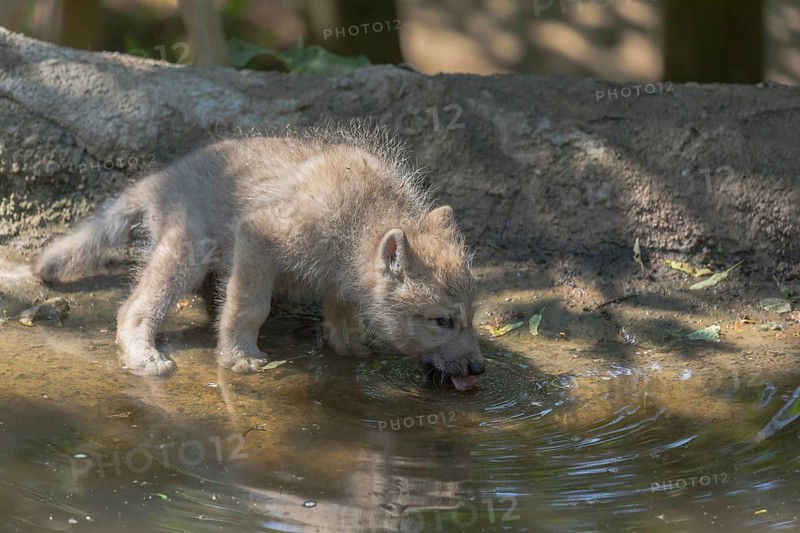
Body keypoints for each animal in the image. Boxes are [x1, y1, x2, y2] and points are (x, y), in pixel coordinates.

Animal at [33, 126, 485, 391]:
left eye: (471, 319)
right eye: (442, 321)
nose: (479, 369)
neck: (358, 218)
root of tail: (160, 178)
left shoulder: (341, 277)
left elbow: (340, 314)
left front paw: (347, 346)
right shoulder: (257, 236)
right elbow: (247, 308)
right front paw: (238, 358)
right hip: (188, 253)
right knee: (133, 308)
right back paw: (146, 357)